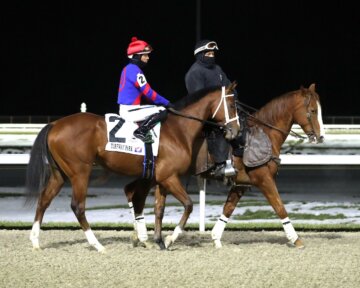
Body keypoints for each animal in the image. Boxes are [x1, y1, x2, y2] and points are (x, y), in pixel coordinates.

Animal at [24, 82, 239, 250]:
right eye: (231, 105)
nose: (235, 131)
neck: (178, 129)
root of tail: (55, 124)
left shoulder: (162, 178)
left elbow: (159, 209)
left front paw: (159, 240)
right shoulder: (169, 177)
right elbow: (188, 205)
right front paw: (170, 238)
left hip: (59, 174)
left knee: (44, 200)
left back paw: (35, 241)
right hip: (80, 173)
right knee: (78, 206)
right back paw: (97, 244)